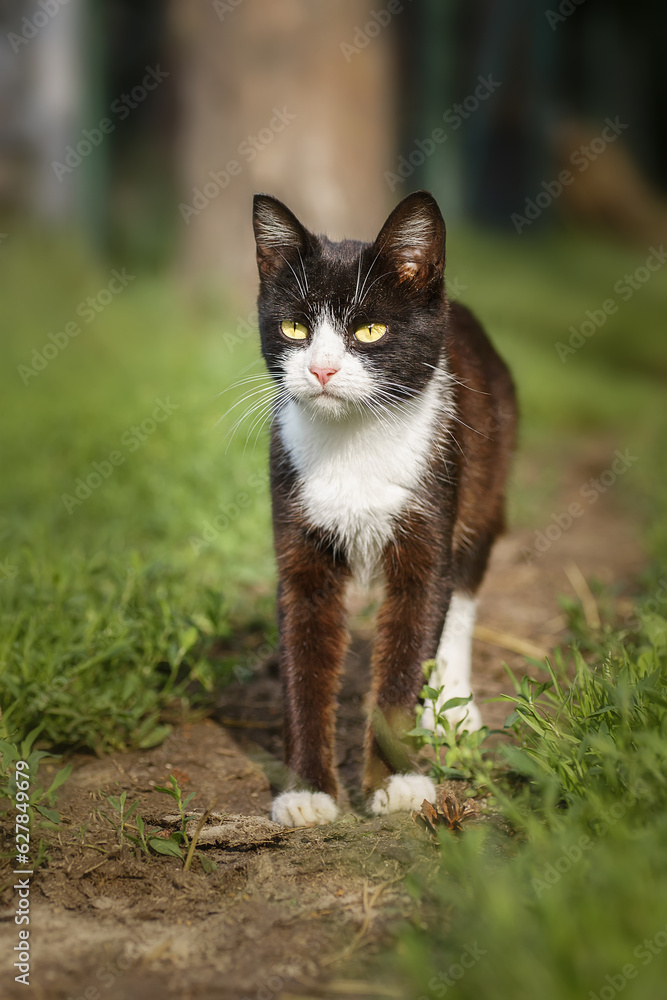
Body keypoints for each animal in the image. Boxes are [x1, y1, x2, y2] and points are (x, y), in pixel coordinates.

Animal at [253, 189, 520, 828]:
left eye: (370, 329)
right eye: (295, 326)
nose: (321, 369)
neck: (353, 446)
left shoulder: (430, 511)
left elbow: (412, 642)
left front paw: (398, 782)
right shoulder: (298, 530)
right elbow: (303, 654)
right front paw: (307, 791)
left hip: (486, 479)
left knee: (463, 594)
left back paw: (454, 711)